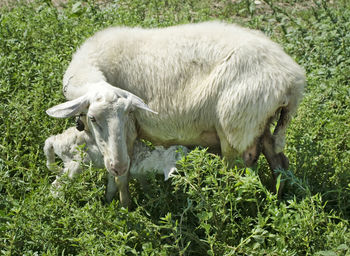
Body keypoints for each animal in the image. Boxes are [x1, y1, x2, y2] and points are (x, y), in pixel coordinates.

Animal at [44, 126, 187, 202]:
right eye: (178, 157)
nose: (189, 150)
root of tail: (54, 141)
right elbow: (117, 187)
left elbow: (139, 185)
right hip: (75, 164)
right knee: (56, 185)